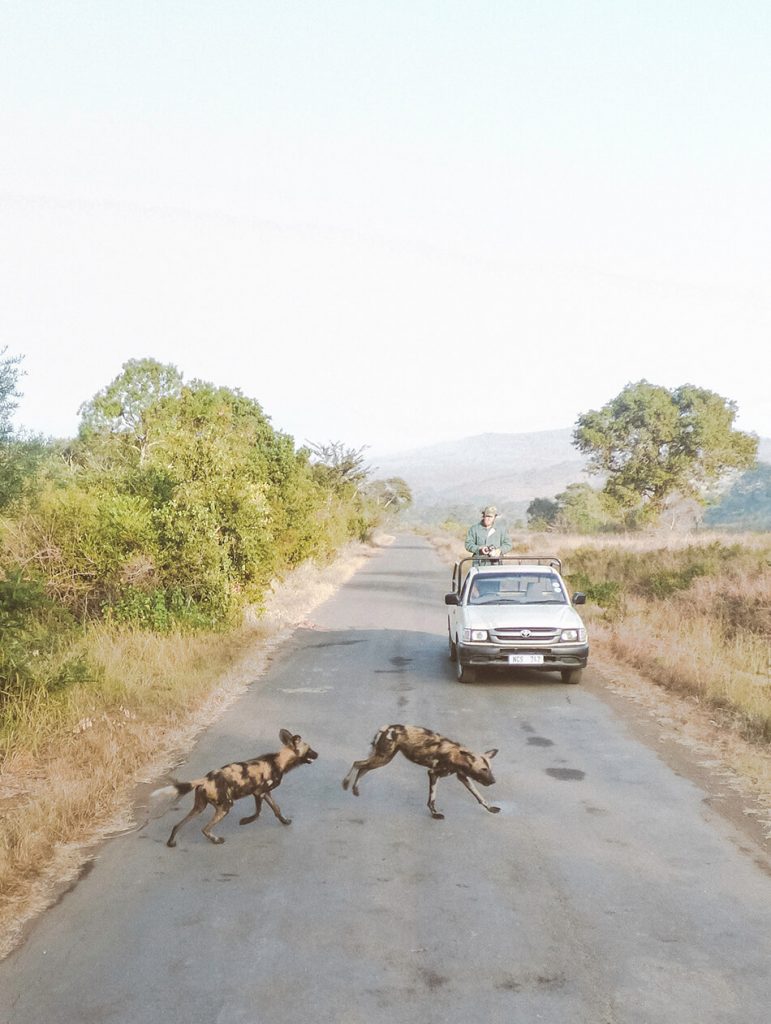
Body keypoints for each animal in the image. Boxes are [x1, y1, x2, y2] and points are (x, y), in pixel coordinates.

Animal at [154, 729, 317, 847]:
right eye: (309, 749)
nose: (317, 754)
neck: (279, 761)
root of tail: (206, 779)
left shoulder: (265, 793)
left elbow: (276, 809)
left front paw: (285, 822)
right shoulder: (259, 793)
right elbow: (258, 813)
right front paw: (245, 821)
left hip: (200, 807)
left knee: (177, 825)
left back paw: (171, 842)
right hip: (225, 807)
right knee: (205, 829)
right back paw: (216, 840)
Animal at [341, 724, 499, 819]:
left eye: (490, 769)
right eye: (483, 769)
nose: (493, 781)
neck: (458, 756)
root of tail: (388, 727)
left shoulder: (463, 777)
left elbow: (479, 796)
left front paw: (490, 808)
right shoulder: (433, 773)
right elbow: (432, 799)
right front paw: (435, 814)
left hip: (382, 759)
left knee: (363, 768)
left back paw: (355, 790)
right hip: (383, 758)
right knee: (357, 764)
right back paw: (346, 784)